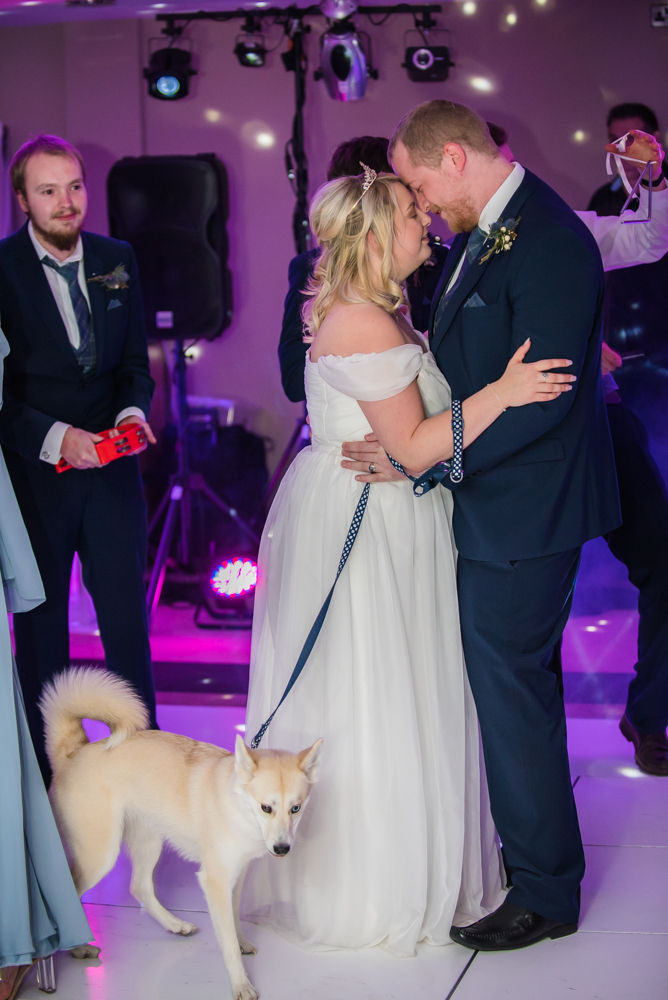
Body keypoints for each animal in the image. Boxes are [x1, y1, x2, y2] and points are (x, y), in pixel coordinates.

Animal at [39, 667, 322, 1000]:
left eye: (296, 808)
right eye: (266, 807)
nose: (281, 849)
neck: (236, 805)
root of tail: (74, 752)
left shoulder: (236, 876)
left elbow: (234, 920)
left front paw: (241, 942)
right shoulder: (215, 881)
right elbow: (227, 942)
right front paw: (240, 983)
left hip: (148, 843)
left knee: (139, 887)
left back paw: (174, 925)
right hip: (101, 856)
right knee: (71, 895)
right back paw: (78, 945)